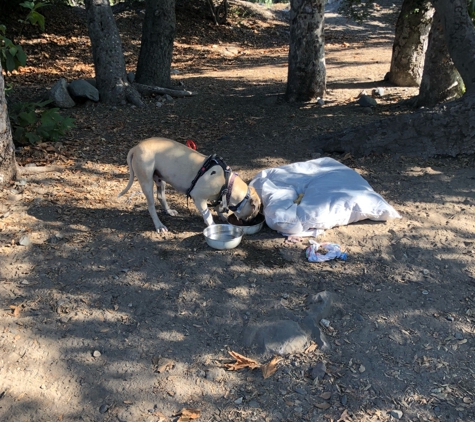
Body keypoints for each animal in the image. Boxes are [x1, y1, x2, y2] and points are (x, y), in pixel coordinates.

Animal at [118, 138, 260, 232]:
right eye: (256, 209)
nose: (252, 221)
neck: (227, 183)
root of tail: (136, 147)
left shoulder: (218, 196)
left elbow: (217, 206)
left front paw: (223, 216)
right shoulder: (198, 198)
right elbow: (208, 216)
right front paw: (213, 226)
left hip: (160, 180)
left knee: (161, 196)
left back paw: (169, 211)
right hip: (146, 182)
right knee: (151, 206)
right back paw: (159, 225)